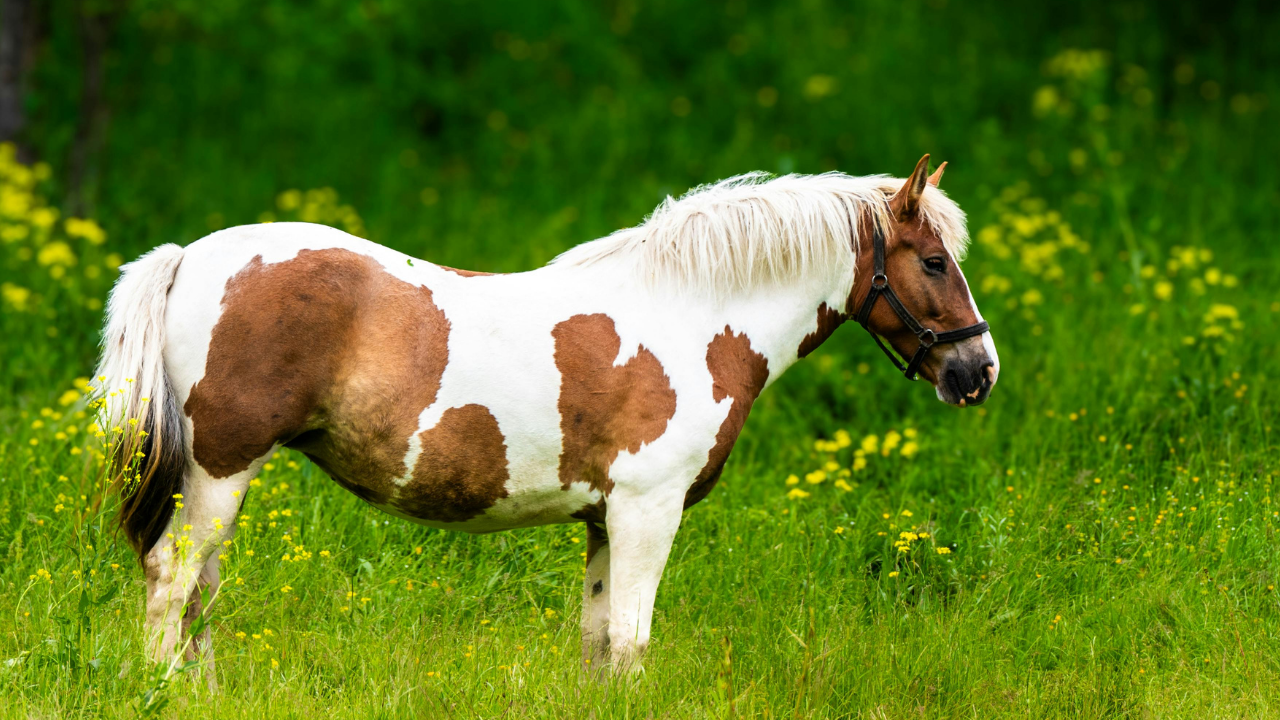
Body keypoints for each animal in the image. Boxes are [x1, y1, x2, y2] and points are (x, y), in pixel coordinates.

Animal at [95, 154, 998, 676]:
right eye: (933, 261)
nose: (978, 371)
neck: (692, 315)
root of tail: (189, 257)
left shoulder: (604, 520)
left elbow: (598, 644)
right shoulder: (647, 512)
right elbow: (631, 642)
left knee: (197, 594)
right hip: (221, 469)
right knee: (174, 584)